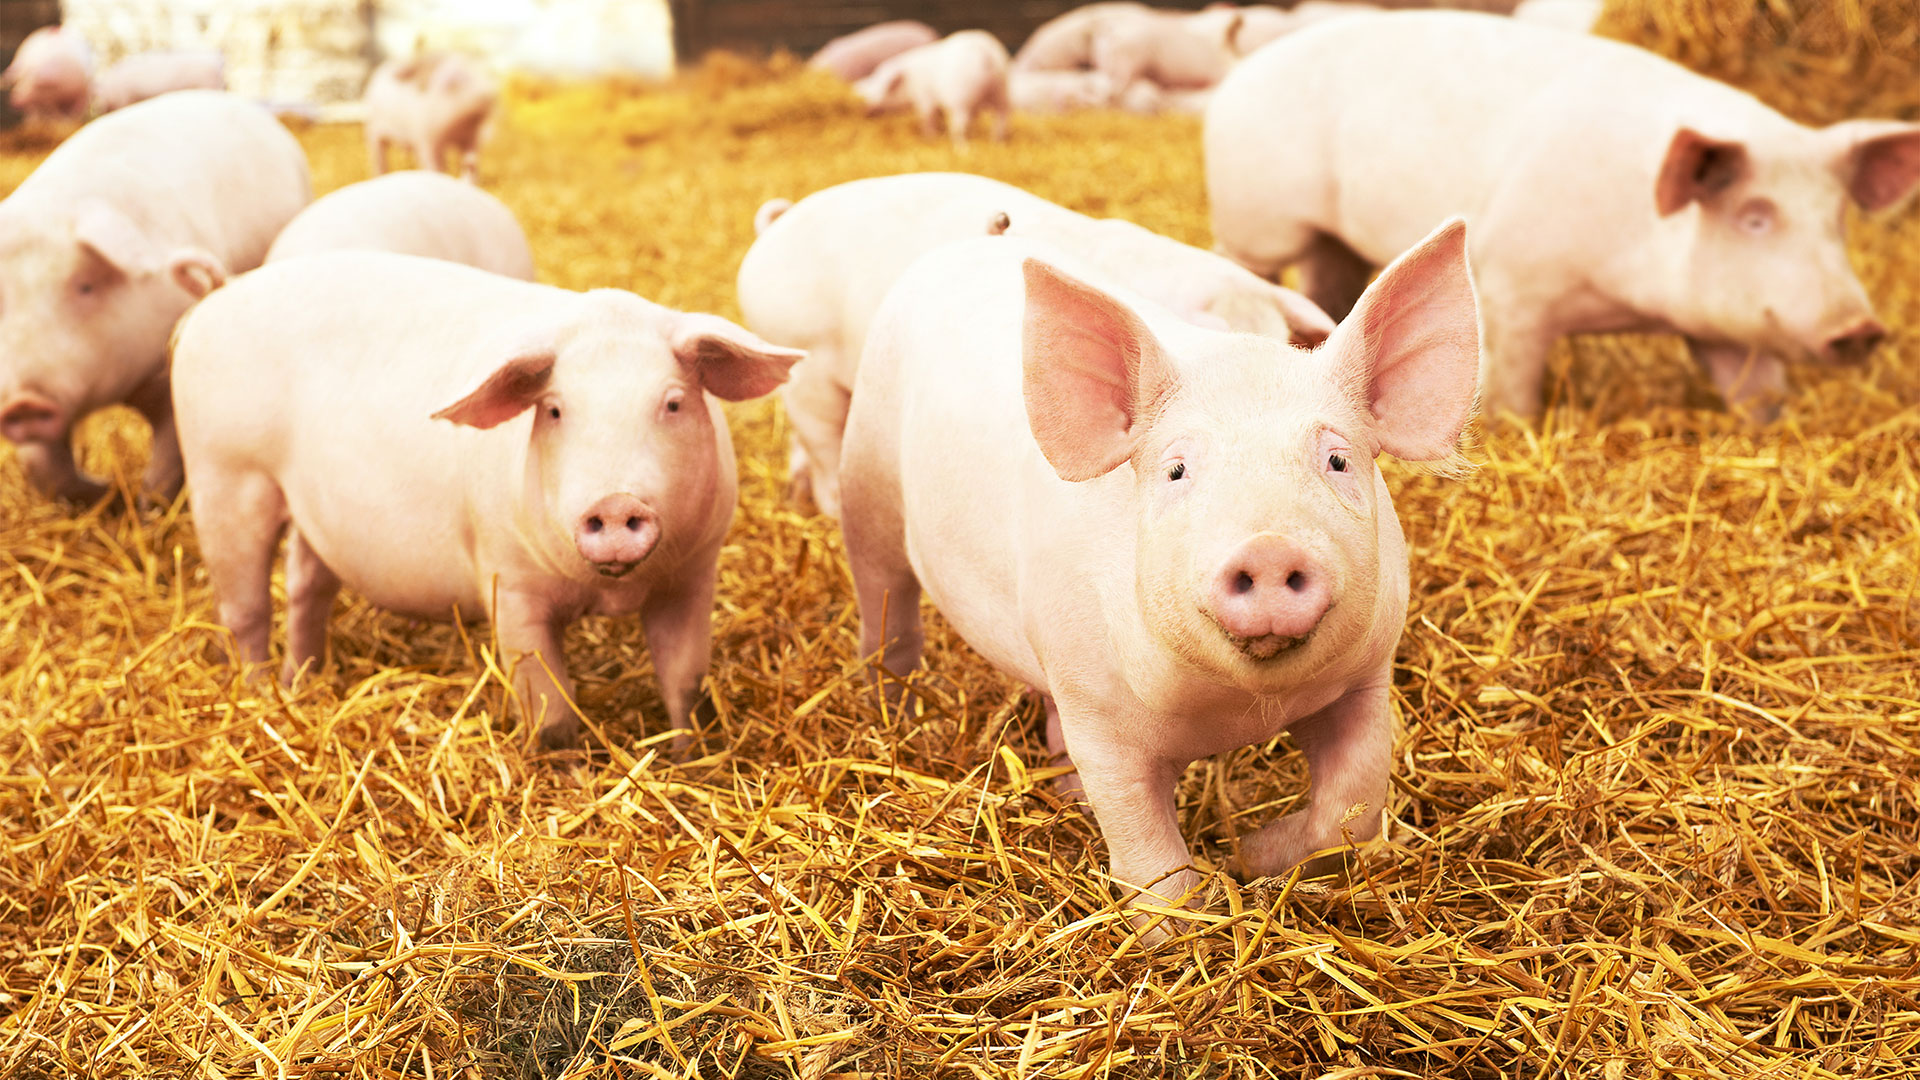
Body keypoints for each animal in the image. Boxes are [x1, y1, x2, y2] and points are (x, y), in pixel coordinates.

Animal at [0, 90, 310, 505]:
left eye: (86, 285)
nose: (23, 403)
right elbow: (43, 467)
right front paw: (101, 490)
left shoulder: (169, 376)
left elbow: (164, 461)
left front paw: (147, 506)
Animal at [170, 252, 803, 750]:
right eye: (554, 410)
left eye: (672, 402)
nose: (616, 502)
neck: (610, 592)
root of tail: (221, 292)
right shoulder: (507, 580)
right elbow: (549, 706)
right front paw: (566, 770)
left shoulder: (693, 574)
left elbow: (685, 683)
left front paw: (692, 759)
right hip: (224, 475)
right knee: (245, 607)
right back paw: (260, 695)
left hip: (312, 510)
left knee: (306, 585)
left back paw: (302, 683)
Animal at [838, 219, 1479, 929]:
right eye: (1176, 471)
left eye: (1337, 460)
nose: (1268, 546)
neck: (1237, 713)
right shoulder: (1101, 717)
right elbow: (1150, 857)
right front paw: (1183, 919)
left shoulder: (1367, 676)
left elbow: (1351, 809)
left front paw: (1250, 854)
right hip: (865, 485)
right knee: (887, 613)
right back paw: (891, 710)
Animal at [853, 31, 1012, 152]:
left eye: (877, 80)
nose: (864, 106)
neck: (911, 82)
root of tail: (986, 55)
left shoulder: (924, 98)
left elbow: (928, 118)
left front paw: (929, 138)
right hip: (1001, 90)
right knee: (1001, 118)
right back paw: (997, 144)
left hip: (962, 99)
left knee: (961, 127)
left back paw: (961, 149)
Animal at [1206, 11, 1920, 422]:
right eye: (1754, 216)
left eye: (1837, 218)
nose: (1860, 328)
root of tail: (1245, 65)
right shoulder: (1514, 287)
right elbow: (1513, 392)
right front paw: (1511, 428)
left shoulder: (1724, 328)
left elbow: (1758, 390)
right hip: (1254, 222)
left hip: (1334, 240)